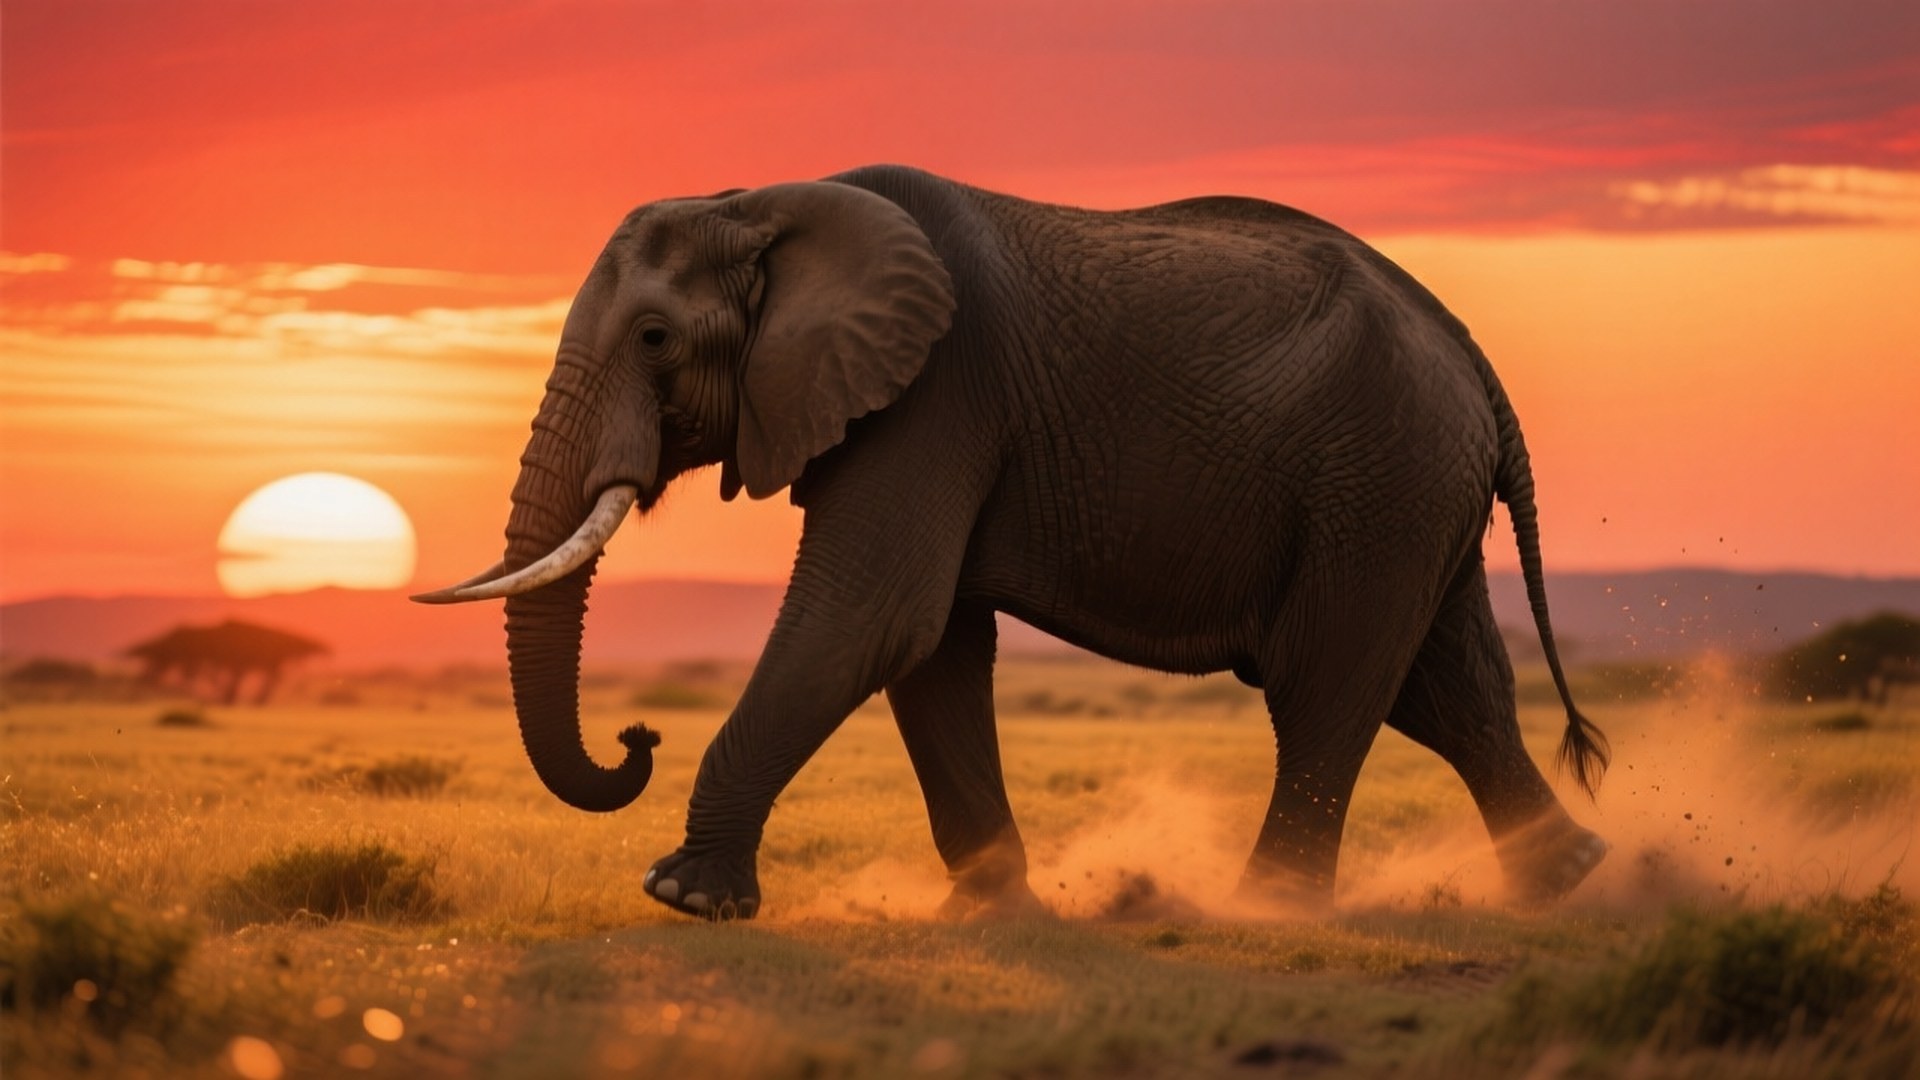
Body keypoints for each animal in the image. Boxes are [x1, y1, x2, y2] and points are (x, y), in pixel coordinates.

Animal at [415, 164, 1610, 921]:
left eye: (657, 339)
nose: (636, 738)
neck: (760, 202)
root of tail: (1470, 353)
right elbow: (932, 648)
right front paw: (994, 910)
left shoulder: (939, 391)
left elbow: (869, 616)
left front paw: (684, 898)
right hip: (1409, 488)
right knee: (1445, 688)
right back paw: (1572, 881)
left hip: (1378, 474)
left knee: (1324, 684)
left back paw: (1269, 912)